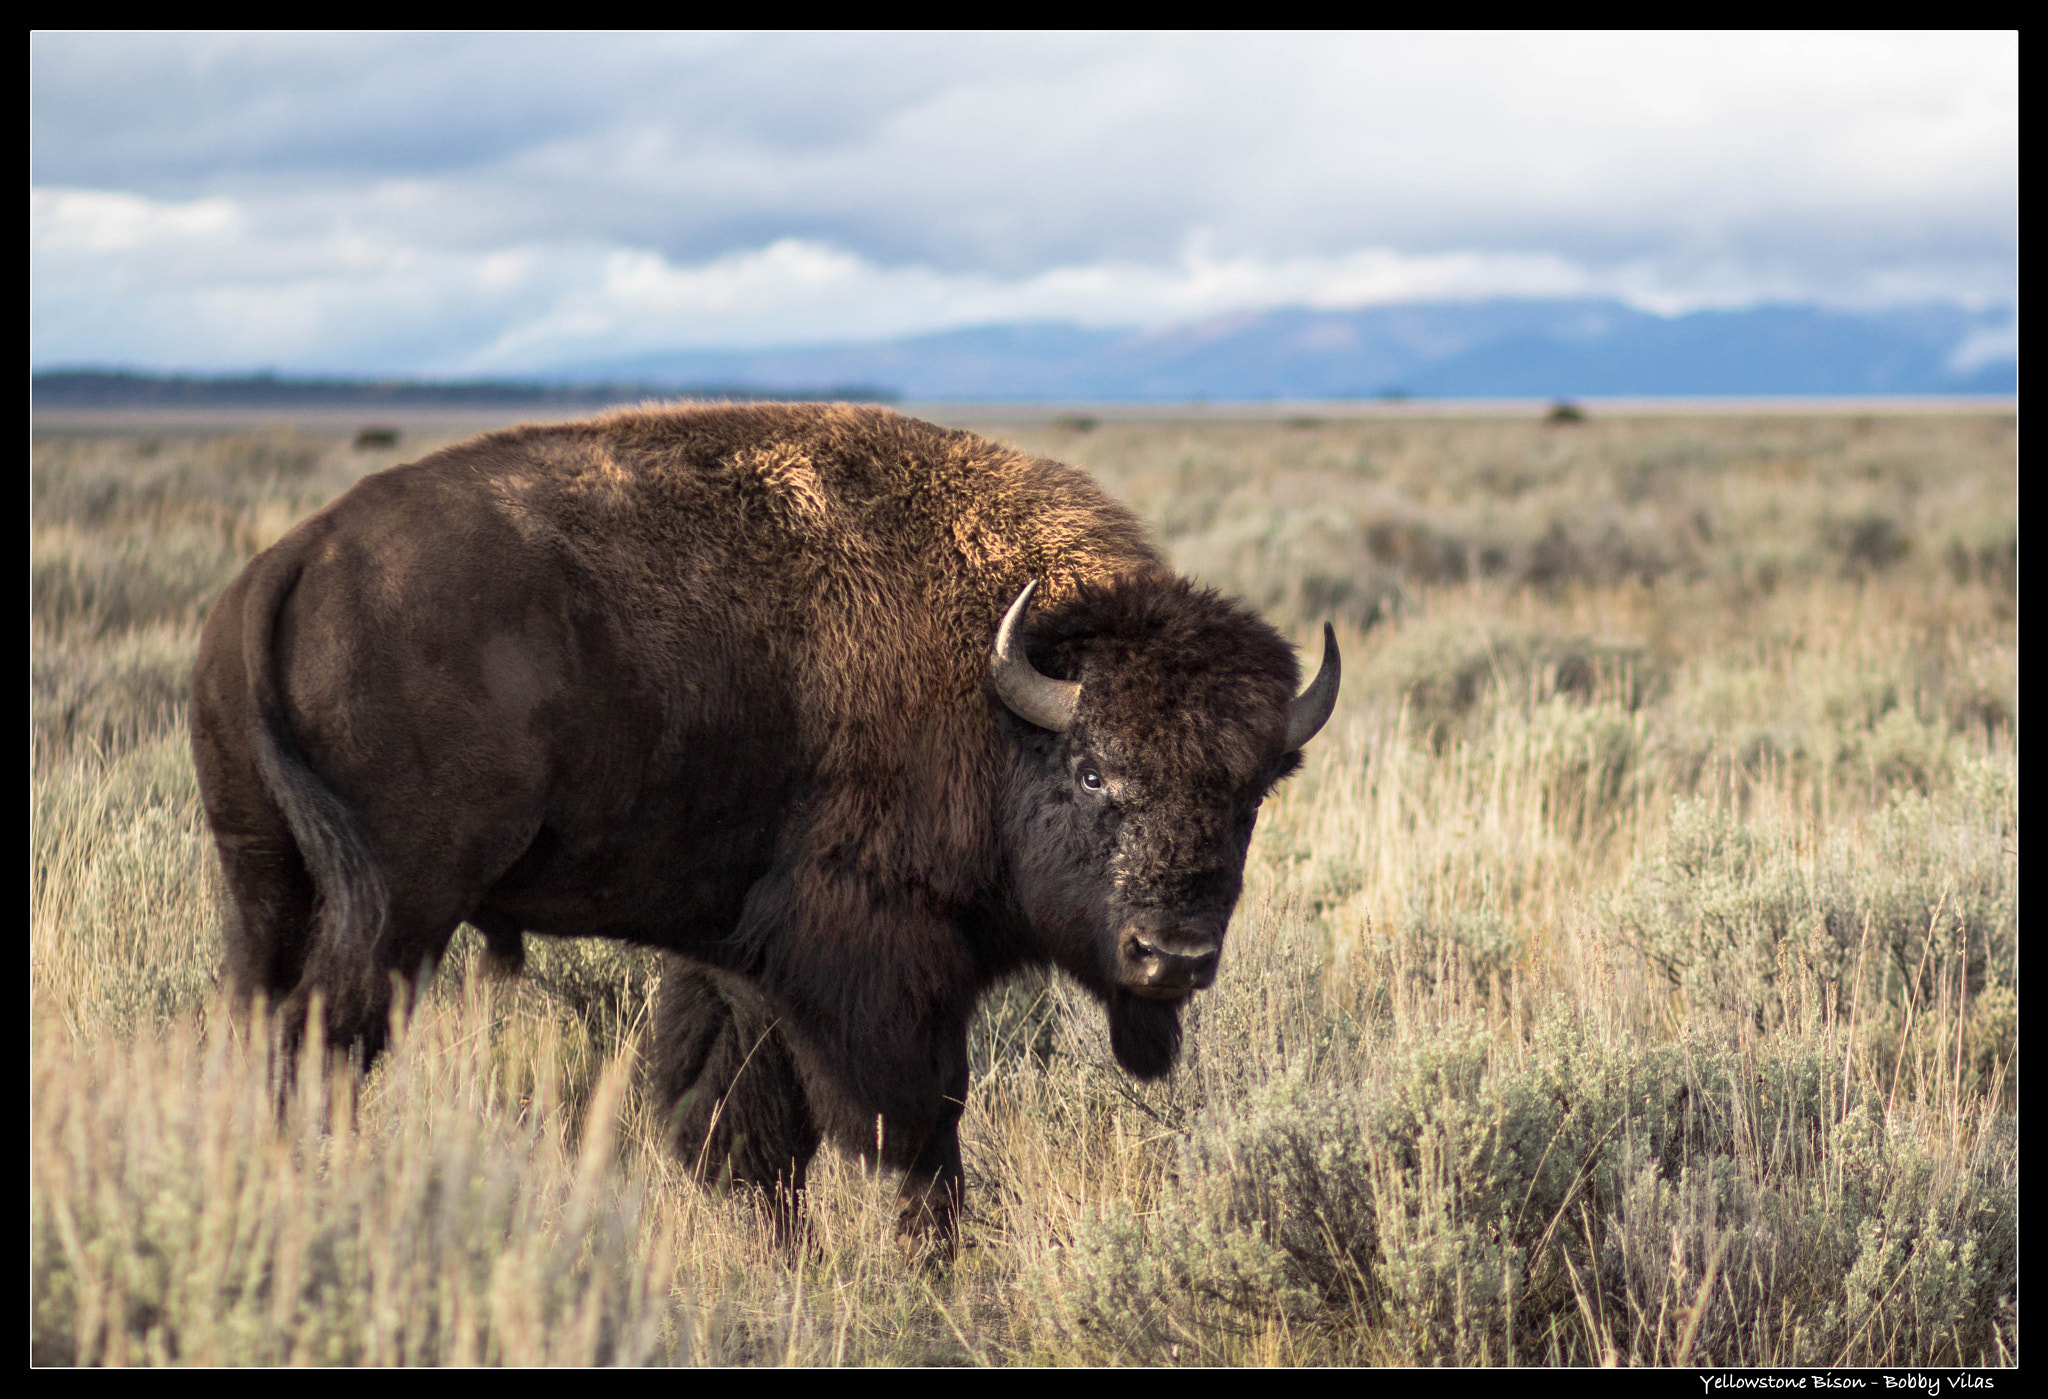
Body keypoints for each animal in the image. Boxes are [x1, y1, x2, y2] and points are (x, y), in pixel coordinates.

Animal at [192, 401, 1335, 1245]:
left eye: (1251, 793)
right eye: (1094, 770)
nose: (1172, 954)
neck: (998, 688)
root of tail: (288, 565)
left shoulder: (743, 959)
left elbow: (738, 1119)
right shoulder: (871, 961)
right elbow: (912, 1129)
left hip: (264, 883)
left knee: (268, 1029)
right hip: (398, 911)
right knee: (324, 1046)